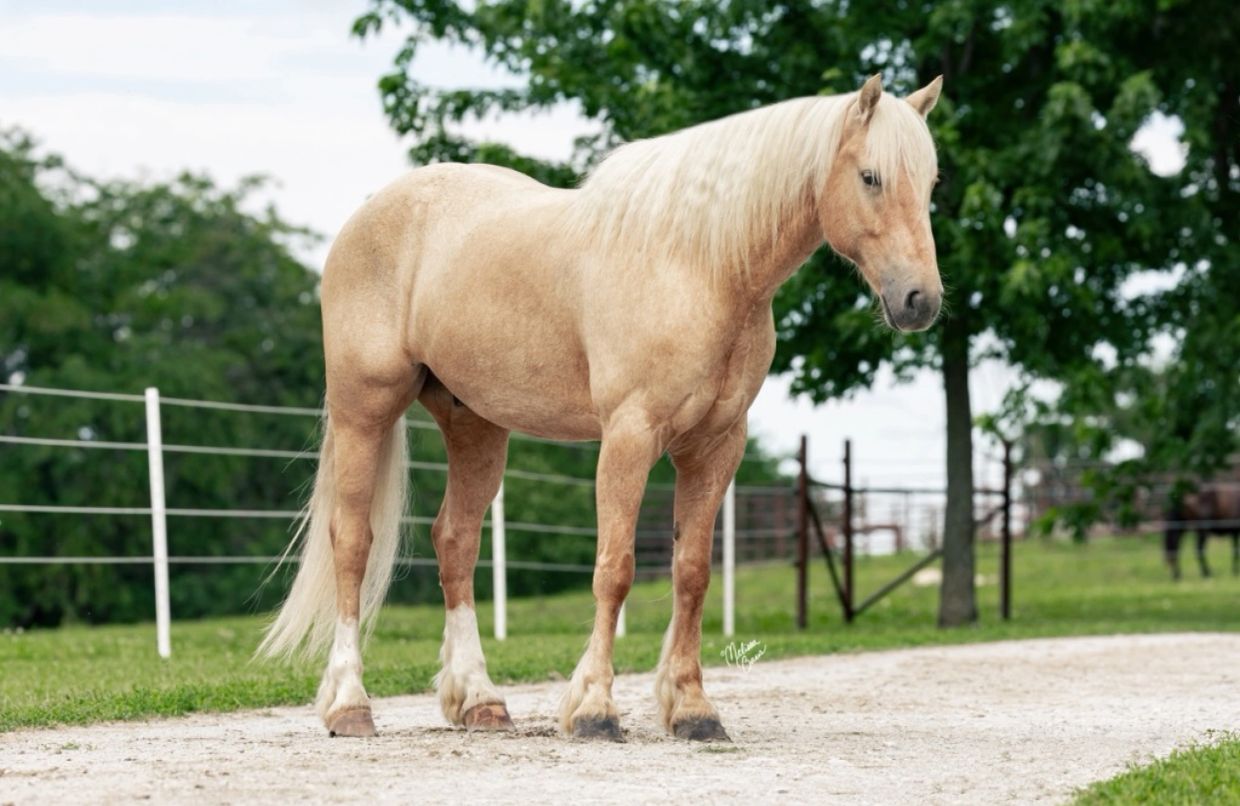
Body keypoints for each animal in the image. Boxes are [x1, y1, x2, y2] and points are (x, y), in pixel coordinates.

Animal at [258, 74, 945, 742]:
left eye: (932, 182)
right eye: (871, 177)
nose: (921, 301)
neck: (697, 266)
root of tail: (369, 213)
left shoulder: (716, 446)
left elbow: (692, 572)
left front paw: (693, 711)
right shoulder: (629, 435)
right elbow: (615, 569)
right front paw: (594, 709)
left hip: (474, 423)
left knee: (455, 541)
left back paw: (480, 701)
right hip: (364, 409)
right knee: (353, 540)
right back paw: (350, 705)